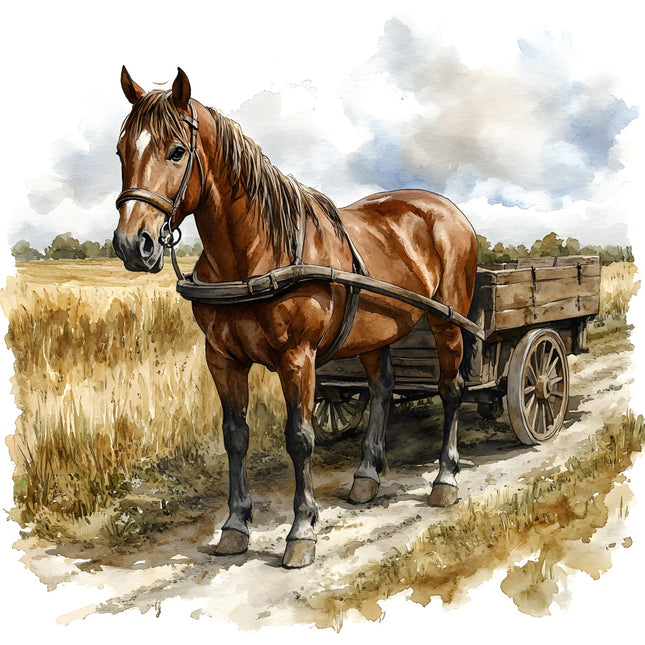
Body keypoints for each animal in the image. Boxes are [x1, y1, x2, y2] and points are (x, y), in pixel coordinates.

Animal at [113, 67, 478, 569]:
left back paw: (446, 479)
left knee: (450, 390)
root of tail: (448, 210)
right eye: (121, 150)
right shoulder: (222, 359)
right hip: (375, 333)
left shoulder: (297, 359)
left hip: (448, 324)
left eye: (177, 151)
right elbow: (235, 436)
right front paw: (235, 525)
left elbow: (300, 438)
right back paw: (366, 477)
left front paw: (301, 530)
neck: (255, 255)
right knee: (382, 389)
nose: (134, 244)